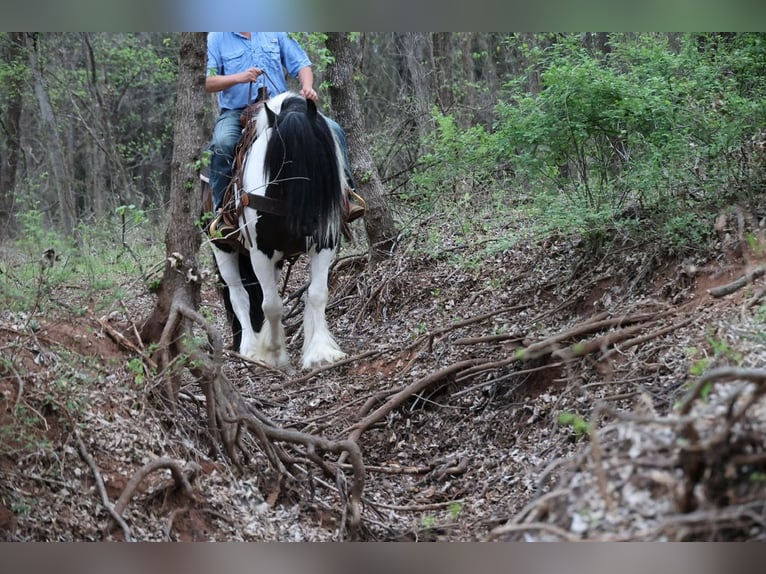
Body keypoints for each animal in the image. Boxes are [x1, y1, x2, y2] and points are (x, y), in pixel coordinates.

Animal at [208, 91, 347, 370]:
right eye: (280, 162)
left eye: (317, 159)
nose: (305, 226)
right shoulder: (259, 252)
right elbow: (270, 304)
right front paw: (273, 353)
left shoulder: (324, 243)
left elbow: (317, 294)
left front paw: (320, 351)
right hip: (223, 249)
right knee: (239, 296)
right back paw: (250, 348)